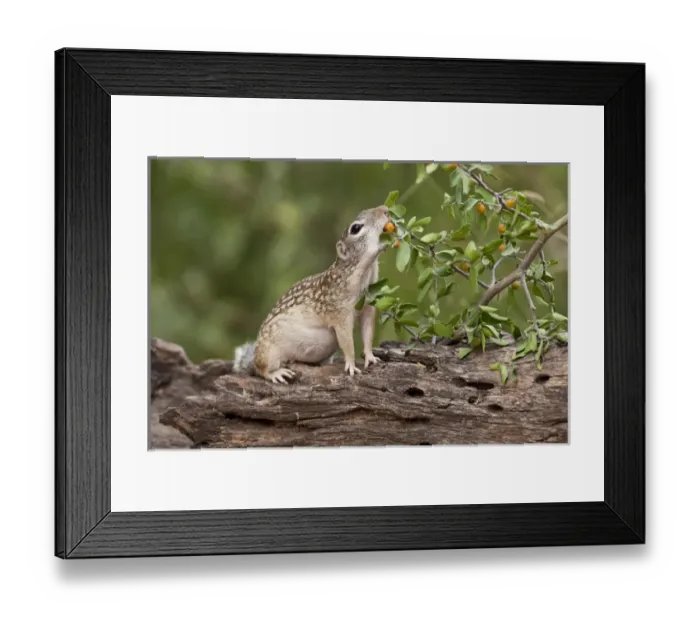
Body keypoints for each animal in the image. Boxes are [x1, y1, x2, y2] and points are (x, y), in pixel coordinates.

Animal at [232, 205, 392, 384]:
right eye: (355, 228)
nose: (385, 209)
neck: (365, 272)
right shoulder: (339, 314)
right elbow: (347, 343)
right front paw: (351, 365)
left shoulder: (367, 307)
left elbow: (368, 333)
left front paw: (370, 357)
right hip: (269, 353)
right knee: (261, 369)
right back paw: (276, 373)